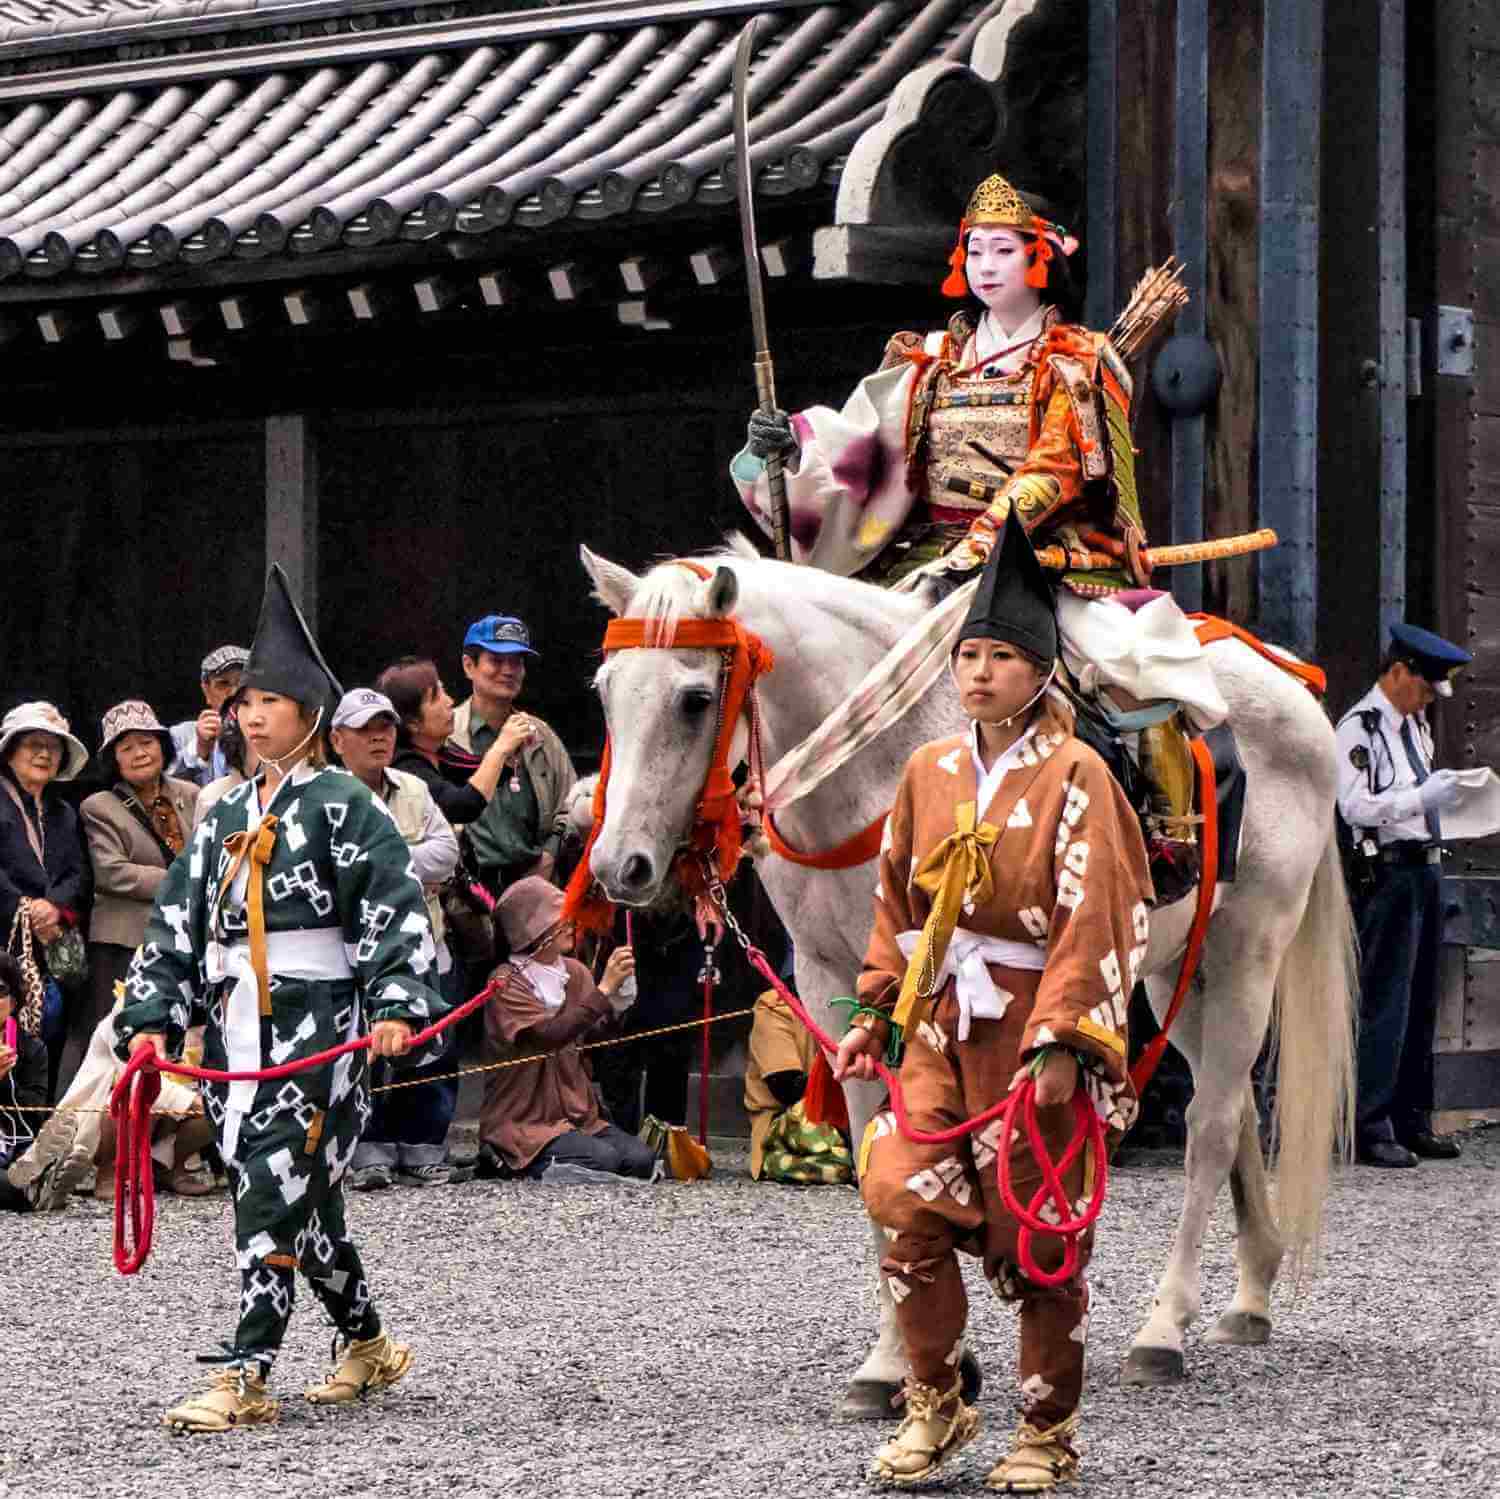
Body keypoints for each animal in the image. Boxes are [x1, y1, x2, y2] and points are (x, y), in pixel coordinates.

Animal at [579, 546, 1356, 1410]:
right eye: (606, 691)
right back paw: (1250, 1293)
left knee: (1211, 1124)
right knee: (1234, 1104)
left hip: (1249, 943)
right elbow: (872, 1146)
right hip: (1177, 970)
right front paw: (894, 1358)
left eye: (694, 699)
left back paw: (1164, 1326)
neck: (870, 766)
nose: (618, 865)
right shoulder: (830, 976)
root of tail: (1288, 681)